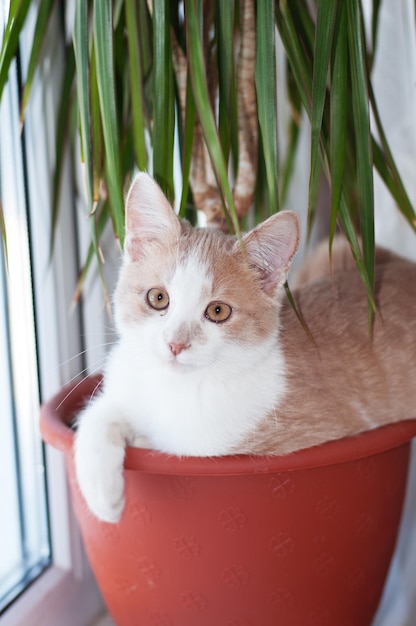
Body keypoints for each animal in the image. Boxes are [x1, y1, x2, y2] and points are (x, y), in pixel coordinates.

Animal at [75, 173, 416, 520]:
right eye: (158, 297)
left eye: (218, 311)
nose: (175, 344)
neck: (176, 387)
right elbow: (100, 411)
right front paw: (102, 492)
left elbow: (168, 445)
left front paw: (137, 449)